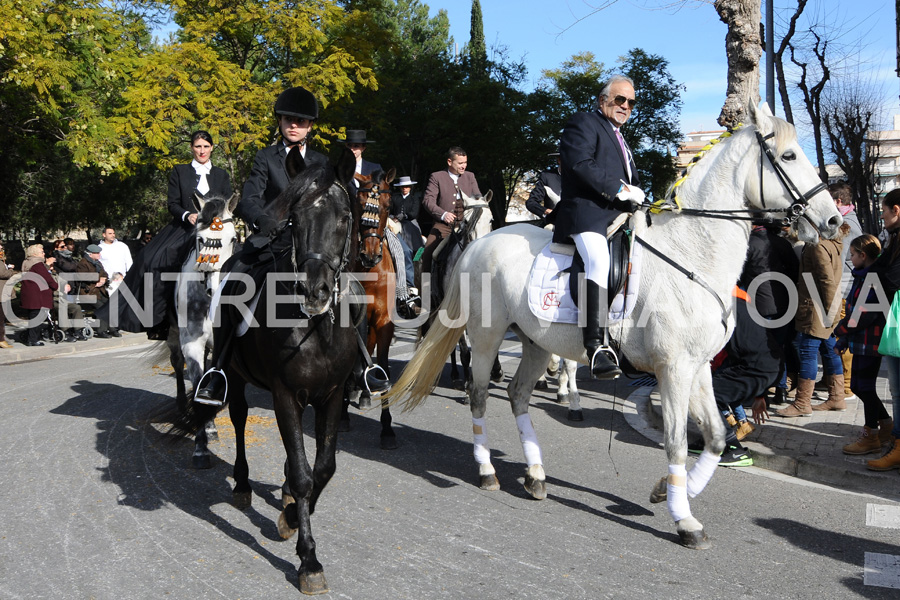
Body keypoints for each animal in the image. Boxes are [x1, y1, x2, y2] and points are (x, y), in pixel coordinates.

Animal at [386, 104, 844, 548]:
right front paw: (684, 519)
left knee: (518, 394)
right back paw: (487, 472)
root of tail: (480, 241)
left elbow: (714, 435)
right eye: (789, 156)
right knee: (479, 394)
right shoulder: (673, 369)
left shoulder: (697, 366)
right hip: (486, 337)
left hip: (536, 340)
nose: (834, 221)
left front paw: (666, 491)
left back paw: (535, 475)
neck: (692, 254)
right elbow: (676, 441)